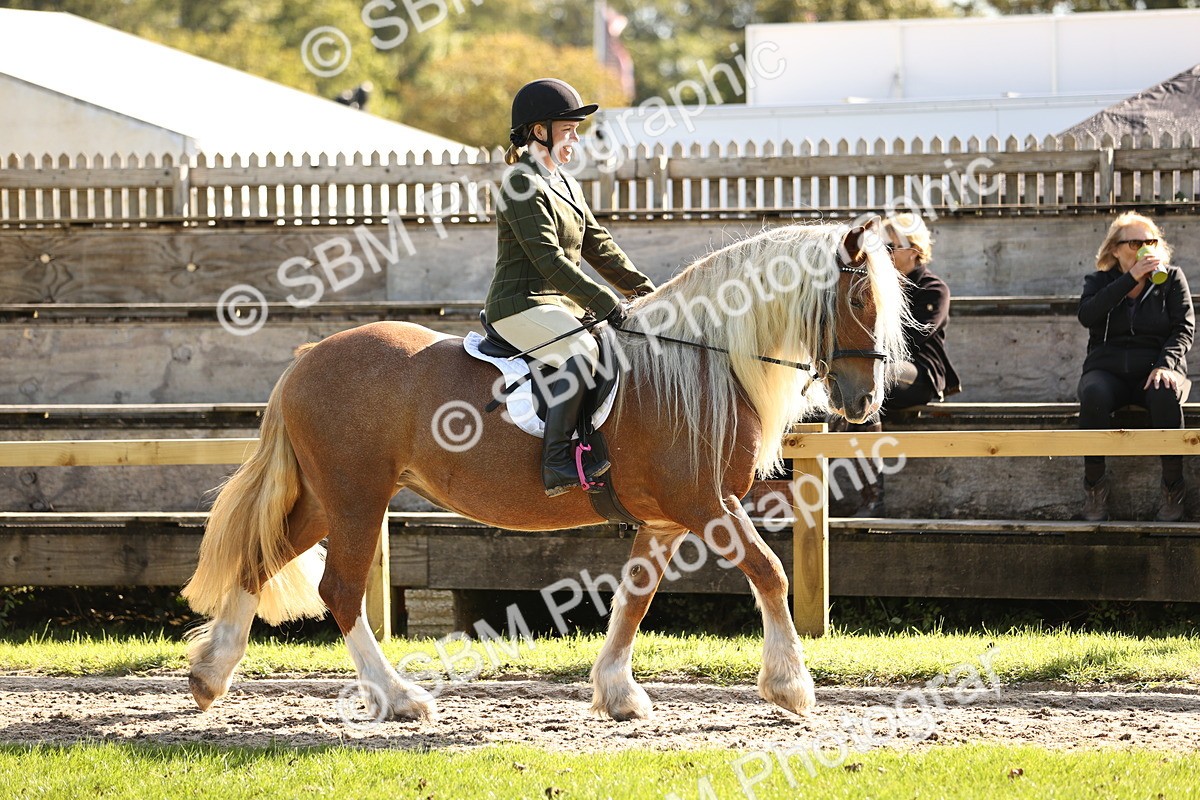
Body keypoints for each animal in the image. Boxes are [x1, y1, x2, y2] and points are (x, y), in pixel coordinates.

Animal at [181, 219, 908, 722]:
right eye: (860, 298)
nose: (864, 401)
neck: (702, 360)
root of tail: (306, 358)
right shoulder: (706, 505)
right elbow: (771, 571)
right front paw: (790, 686)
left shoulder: (667, 519)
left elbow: (634, 597)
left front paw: (617, 693)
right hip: (357, 498)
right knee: (341, 590)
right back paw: (398, 697)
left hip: (325, 497)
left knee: (259, 557)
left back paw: (210, 677)